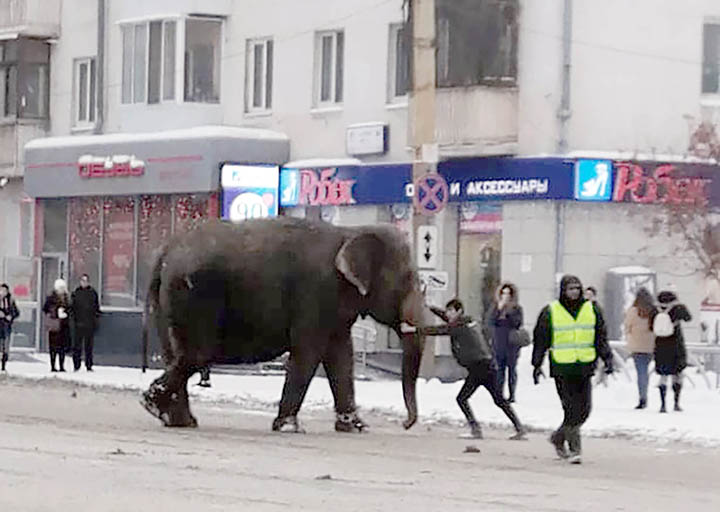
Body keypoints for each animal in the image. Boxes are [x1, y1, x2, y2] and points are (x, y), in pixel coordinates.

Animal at [141, 216, 428, 432]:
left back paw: (177, 420)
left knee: (177, 354)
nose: (405, 424)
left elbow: (341, 357)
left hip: (168, 300)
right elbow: (309, 353)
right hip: (193, 295)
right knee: (197, 353)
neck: (351, 231)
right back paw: (153, 405)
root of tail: (164, 252)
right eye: (408, 279)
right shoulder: (315, 292)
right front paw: (289, 427)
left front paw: (356, 428)